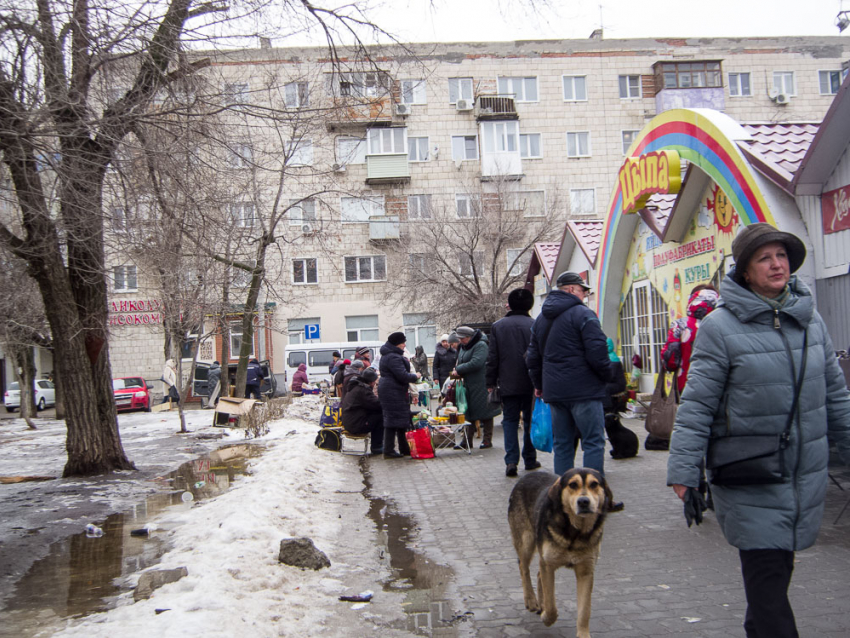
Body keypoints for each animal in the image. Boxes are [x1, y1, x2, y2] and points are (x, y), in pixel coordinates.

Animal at [504, 468, 616, 636]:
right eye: (573, 484)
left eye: (594, 484)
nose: (583, 502)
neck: (575, 532)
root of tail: (528, 475)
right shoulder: (549, 565)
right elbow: (551, 605)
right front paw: (547, 617)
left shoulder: (586, 571)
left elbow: (584, 611)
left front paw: (583, 634)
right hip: (526, 540)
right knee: (523, 568)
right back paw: (531, 600)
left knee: (538, 573)